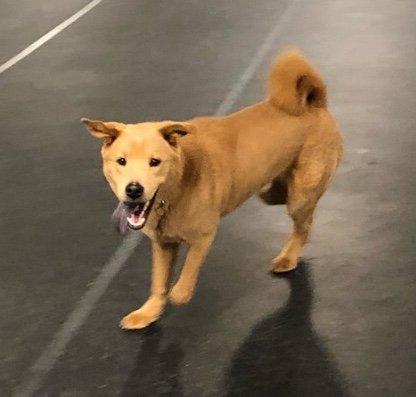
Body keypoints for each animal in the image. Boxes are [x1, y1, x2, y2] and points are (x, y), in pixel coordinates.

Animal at [80, 49, 342, 328]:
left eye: (155, 162)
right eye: (121, 161)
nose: (133, 189)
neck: (178, 185)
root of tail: (315, 104)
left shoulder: (203, 236)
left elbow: (188, 271)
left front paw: (180, 293)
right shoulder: (162, 244)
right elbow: (158, 281)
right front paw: (149, 312)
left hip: (300, 196)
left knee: (304, 226)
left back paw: (288, 258)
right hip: (271, 192)